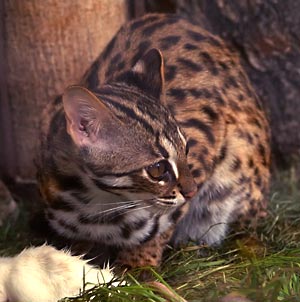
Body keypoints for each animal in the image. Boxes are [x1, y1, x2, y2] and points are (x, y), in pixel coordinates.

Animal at [37, 14, 270, 268]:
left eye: (186, 150)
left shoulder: (203, 143)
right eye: (157, 169)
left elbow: (162, 226)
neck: (98, 203)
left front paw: (138, 263)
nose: (192, 192)